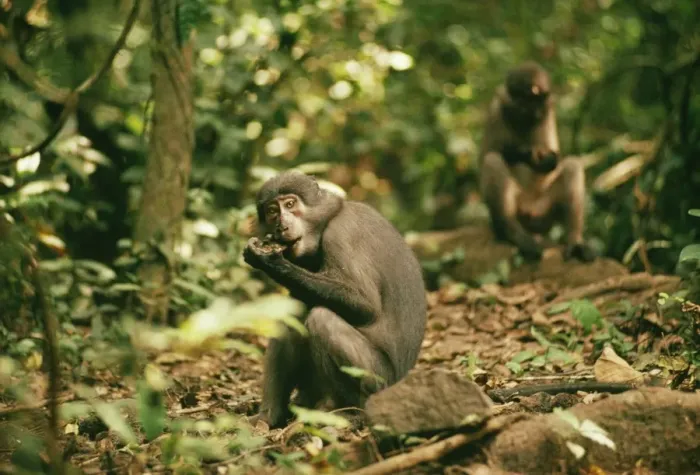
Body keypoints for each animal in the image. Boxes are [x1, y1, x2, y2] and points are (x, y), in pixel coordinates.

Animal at [243, 171, 427, 428]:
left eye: (290, 204)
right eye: (272, 211)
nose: (281, 225)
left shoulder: (340, 234)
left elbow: (366, 306)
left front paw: (270, 261)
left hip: (380, 379)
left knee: (321, 319)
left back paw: (347, 411)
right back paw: (270, 415)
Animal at [479, 61, 595, 262]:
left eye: (537, 102)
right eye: (523, 102)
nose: (533, 112)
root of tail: (530, 209)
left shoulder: (549, 110)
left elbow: (555, 158)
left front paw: (544, 159)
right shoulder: (497, 107)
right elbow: (486, 154)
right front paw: (528, 153)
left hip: (545, 209)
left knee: (572, 165)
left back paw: (575, 241)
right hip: (518, 205)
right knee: (492, 160)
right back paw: (512, 233)